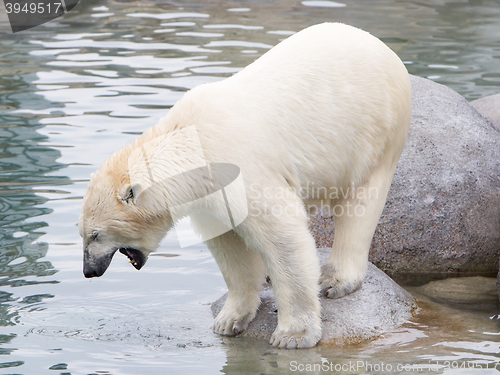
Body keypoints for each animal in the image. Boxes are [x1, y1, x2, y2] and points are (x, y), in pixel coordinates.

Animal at [80, 23, 412, 352]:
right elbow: (229, 244)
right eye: (83, 233)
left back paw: (334, 279)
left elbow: (283, 236)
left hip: (373, 133)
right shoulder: (210, 193)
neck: (193, 142)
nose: (88, 271)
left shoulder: (240, 170)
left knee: (360, 203)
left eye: (96, 234)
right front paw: (230, 319)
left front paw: (293, 335)